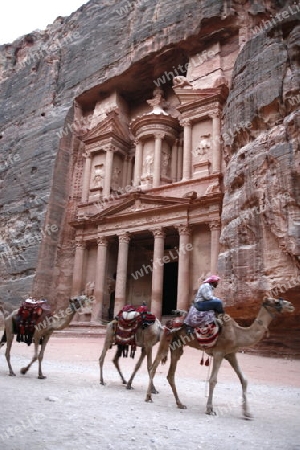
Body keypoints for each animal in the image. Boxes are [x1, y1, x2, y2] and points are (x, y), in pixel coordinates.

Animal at [145, 298, 296, 418]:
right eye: (276, 302)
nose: (291, 305)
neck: (237, 333)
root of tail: (169, 320)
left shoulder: (231, 354)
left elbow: (244, 380)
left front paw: (247, 413)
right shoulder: (219, 352)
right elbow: (213, 380)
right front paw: (210, 409)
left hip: (177, 346)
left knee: (170, 374)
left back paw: (180, 403)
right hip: (166, 338)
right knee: (154, 367)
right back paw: (149, 397)